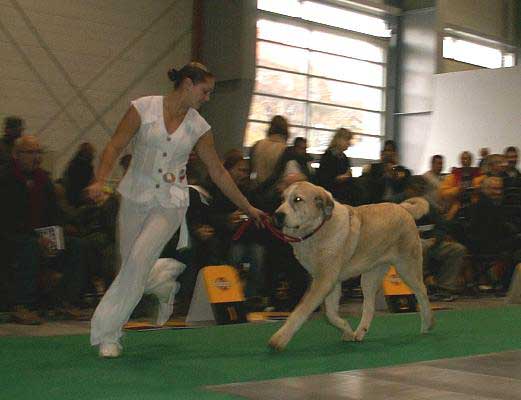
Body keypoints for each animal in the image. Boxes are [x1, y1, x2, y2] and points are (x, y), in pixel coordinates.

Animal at [266, 180, 432, 350]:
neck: (319, 228)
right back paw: (359, 333)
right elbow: (330, 315)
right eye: (282, 199)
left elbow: (300, 311)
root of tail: (402, 208)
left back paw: (427, 325)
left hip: (407, 268)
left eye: (297, 199)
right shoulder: (331, 283)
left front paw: (279, 339)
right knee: (369, 306)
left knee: (422, 292)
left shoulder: (324, 281)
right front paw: (347, 330)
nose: (277, 215)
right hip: (369, 277)